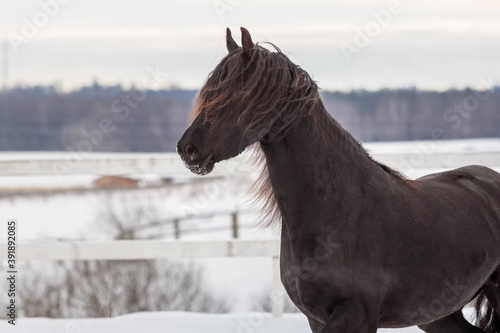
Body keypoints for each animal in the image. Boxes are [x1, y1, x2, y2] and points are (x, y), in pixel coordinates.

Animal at [178, 27, 500, 330]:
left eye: (237, 93)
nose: (187, 149)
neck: (338, 209)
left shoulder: (358, 315)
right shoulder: (317, 318)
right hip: (437, 316)